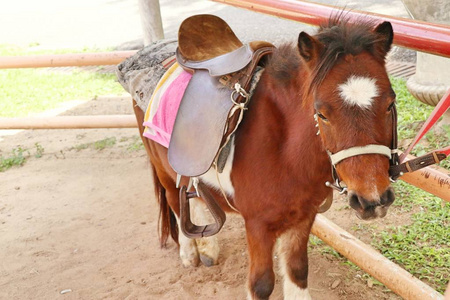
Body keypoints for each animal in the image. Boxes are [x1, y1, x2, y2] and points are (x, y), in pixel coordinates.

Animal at [134, 15, 398, 300]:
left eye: (390, 105)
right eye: (322, 114)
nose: (371, 200)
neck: (284, 152)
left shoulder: (303, 216)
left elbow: (298, 270)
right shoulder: (258, 226)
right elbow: (261, 284)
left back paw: (207, 249)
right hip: (163, 170)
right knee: (174, 200)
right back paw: (189, 253)